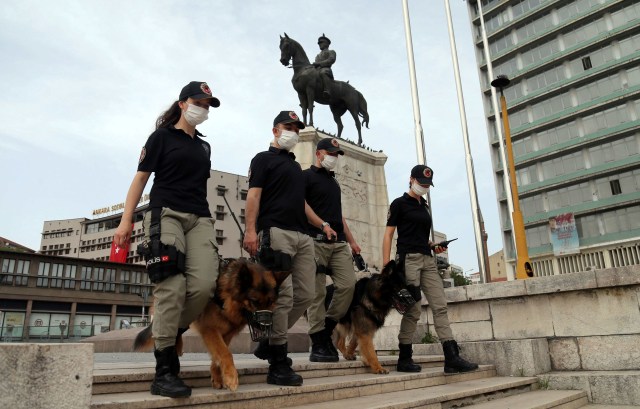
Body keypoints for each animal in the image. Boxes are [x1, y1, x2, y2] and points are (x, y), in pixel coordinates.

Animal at [135, 260, 290, 390]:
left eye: (271, 302)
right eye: (254, 301)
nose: (266, 326)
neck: (226, 297)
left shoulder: (226, 333)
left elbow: (218, 355)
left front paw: (218, 377)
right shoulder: (210, 330)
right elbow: (225, 352)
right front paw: (231, 377)